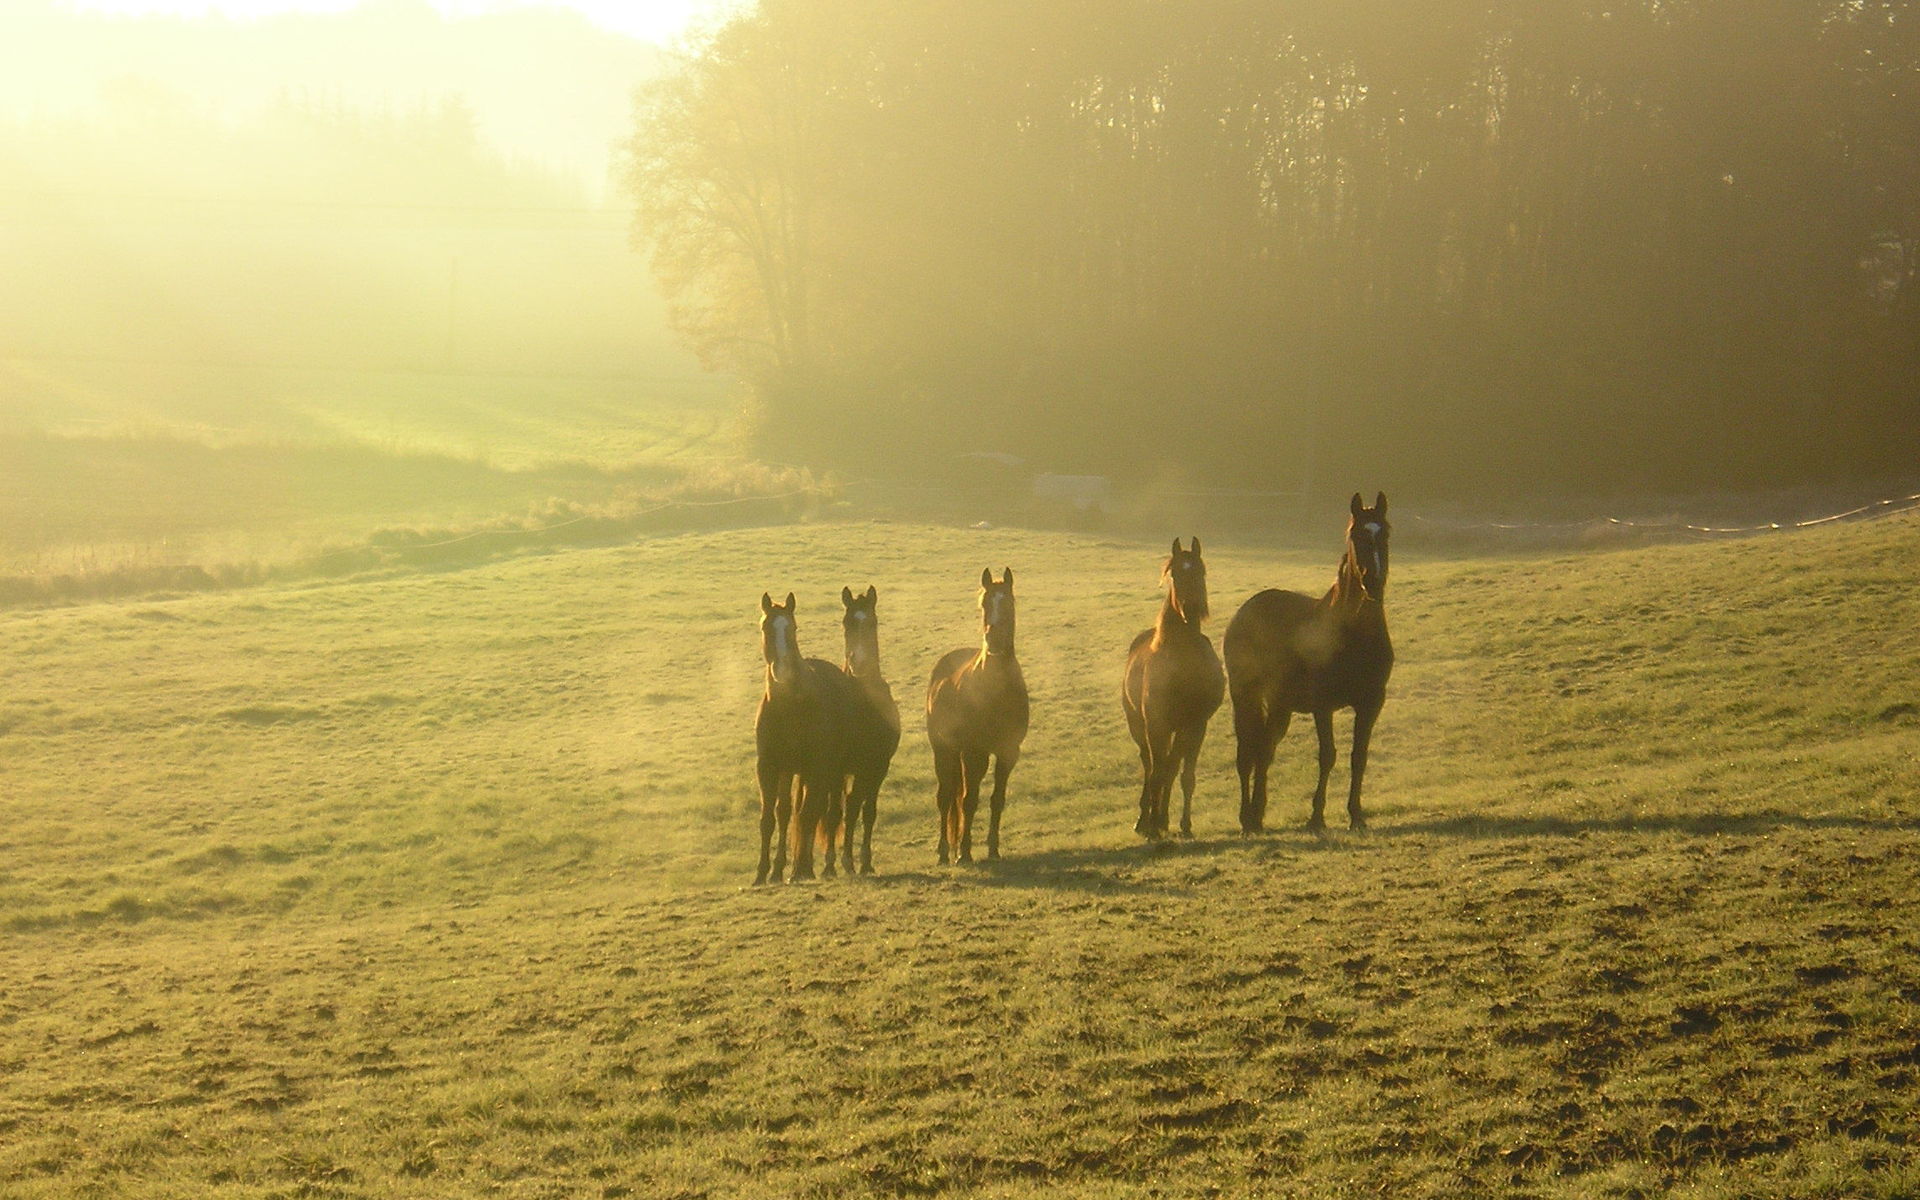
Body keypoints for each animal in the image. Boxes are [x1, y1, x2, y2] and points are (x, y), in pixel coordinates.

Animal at [752, 591, 860, 879]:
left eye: (793, 628)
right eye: (766, 628)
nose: (782, 671)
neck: (790, 706)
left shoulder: (818, 767)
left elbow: (809, 815)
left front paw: (800, 870)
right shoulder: (769, 766)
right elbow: (769, 819)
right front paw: (763, 873)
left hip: (829, 772)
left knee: (822, 812)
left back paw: (813, 867)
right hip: (792, 770)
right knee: (786, 813)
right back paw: (782, 868)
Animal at [921, 568, 1029, 860]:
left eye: (1009, 602)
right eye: (984, 604)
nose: (993, 641)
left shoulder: (1008, 752)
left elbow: (997, 800)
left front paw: (993, 849)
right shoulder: (974, 753)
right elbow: (969, 800)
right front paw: (964, 853)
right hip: (944, 750)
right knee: (946, 796)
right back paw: (944, 851)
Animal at [1121, 537, 1221, 837]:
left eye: (1201, 571)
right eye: (1175, 573)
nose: (1192, 608)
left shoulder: (1197, 724)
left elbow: (1185, 775)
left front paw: (1184, 825)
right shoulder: (1157, 725)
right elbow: (1156, 772)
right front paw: (1152, 825)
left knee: (1171, 766)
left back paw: (1163, 818)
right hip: (1140, 726)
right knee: (1150, 764)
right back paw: (1146, 819)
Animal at [1228, 491, 1397, 829]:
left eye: (1384, 533)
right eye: (1356, 535)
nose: (1373, 583)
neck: (1354, 636)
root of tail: (1244, 611)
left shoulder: (1371, 702)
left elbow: (1359, 757)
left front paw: (1356, 815)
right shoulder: (1323, 705)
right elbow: (1328, 755)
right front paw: (1317, 816)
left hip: (1279, 705)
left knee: (1265, 749)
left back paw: (1258, 813)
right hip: (1245, 698)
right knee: (1247, 752)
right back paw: (1246, 817)